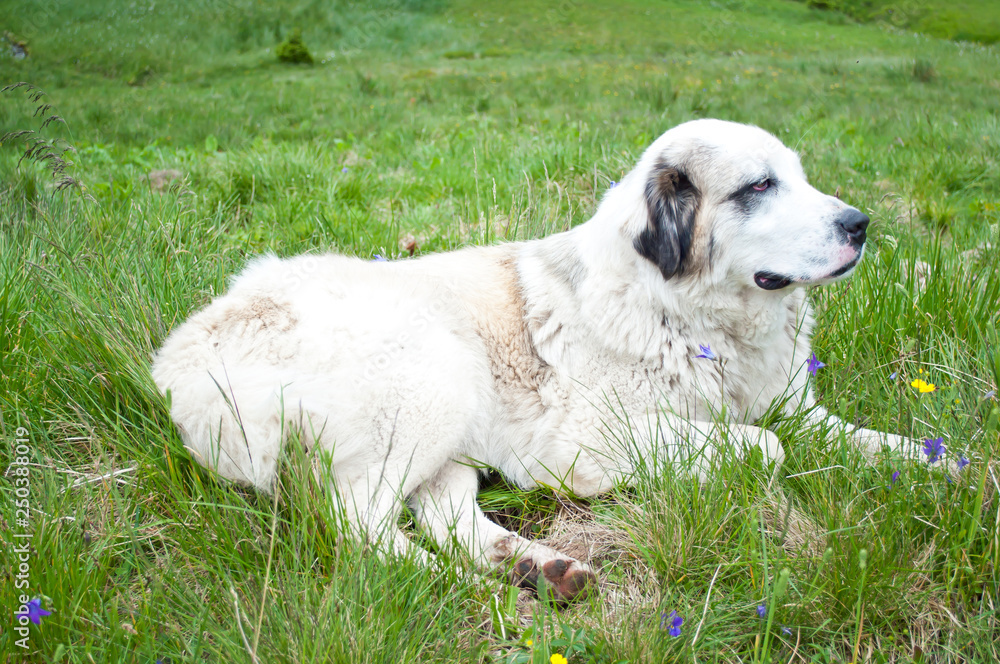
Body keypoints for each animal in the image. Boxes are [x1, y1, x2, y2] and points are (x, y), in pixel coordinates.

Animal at [154, 119, 908, 600]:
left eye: (797, 178)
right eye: (758, 187)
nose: (860, 224)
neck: (684, 312)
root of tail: (183, 358)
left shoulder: (793, 404)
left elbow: (861, 438)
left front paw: (929, 462)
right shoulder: (588, 442)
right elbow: (769, 447)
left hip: (450, 436)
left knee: (444, 516)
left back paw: (532, 569)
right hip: (437, 372)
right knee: (358, 523)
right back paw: (451, 587)